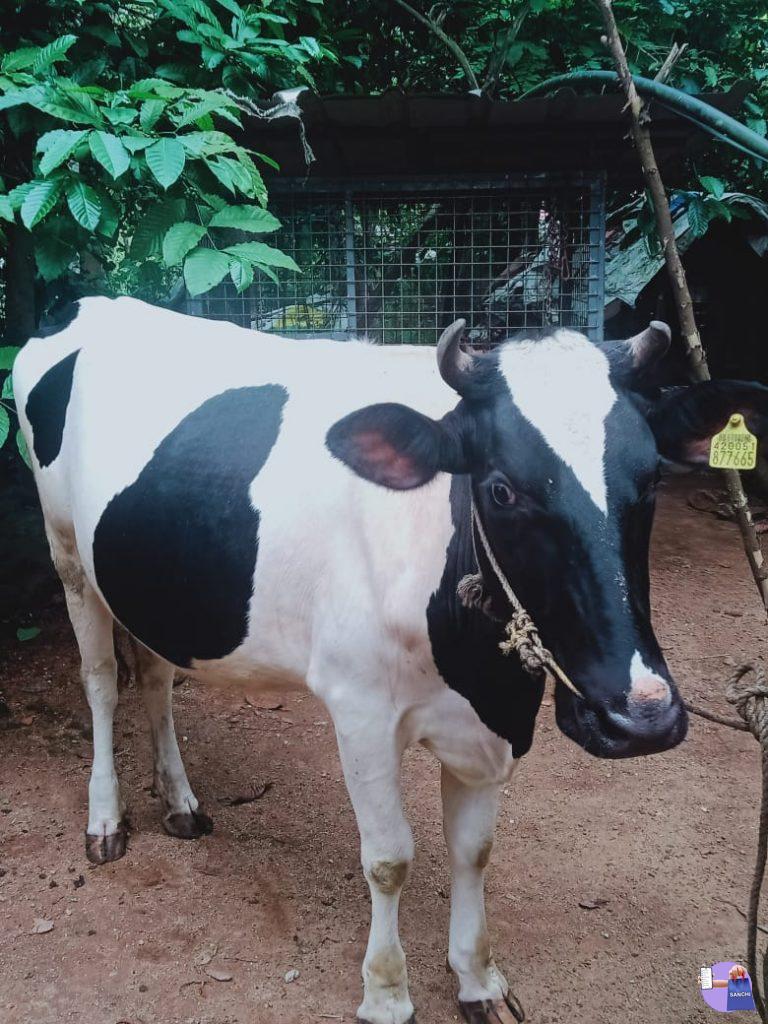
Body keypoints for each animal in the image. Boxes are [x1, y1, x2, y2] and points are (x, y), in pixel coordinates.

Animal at [13, 296, 768, 1024]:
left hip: (148, 585)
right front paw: (385, 993)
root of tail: (87, 305)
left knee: (156, 677)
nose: (641, 717)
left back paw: (178, 800)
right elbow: (388, 858)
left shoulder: (488, 726)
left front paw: (478, 980)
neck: (486, 678)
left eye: (652, 479)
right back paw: (106, 818)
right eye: (500, 488)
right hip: (66, 550)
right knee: (101, 683)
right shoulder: (360, 708)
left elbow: (473, 850)